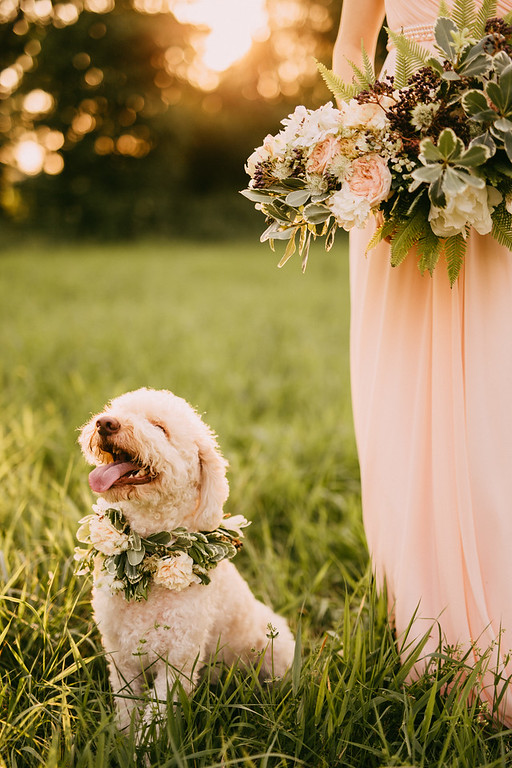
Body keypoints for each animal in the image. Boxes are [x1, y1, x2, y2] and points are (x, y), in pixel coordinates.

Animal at [80, 388, 296, 728]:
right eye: (115, 410)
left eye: (160, 428)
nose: (105, 423)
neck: (150, 556)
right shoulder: (122, 658)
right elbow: (127, 707)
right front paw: (122, 737)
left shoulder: (179, 662)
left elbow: (155, 721)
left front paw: (143, 742)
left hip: (275, 654)